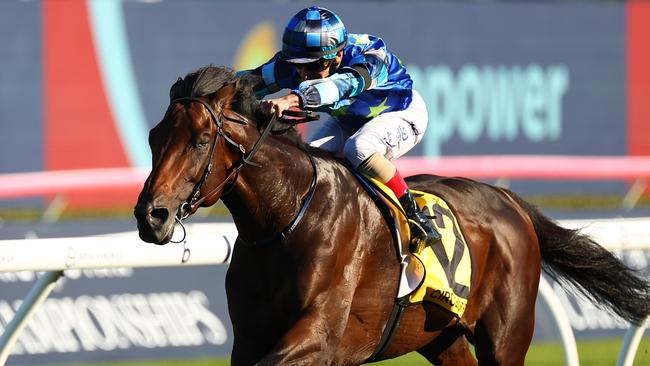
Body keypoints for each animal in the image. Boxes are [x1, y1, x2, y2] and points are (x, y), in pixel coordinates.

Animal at [134, 66, 644, 366]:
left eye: (201, 139)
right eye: (154, 137)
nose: (150, 216)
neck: (284, 220)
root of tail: (507, 199)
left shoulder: (318, 335)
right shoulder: (250, 339)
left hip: (507, 335)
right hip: (442, 335)